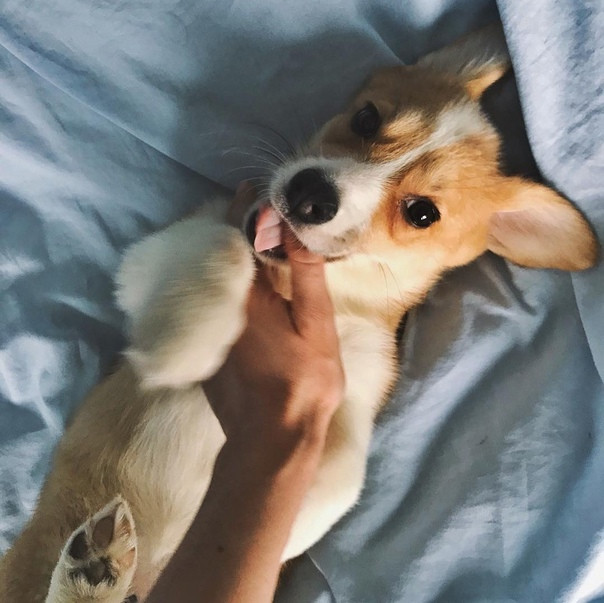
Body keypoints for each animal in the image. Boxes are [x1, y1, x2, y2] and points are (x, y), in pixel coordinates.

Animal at [0, 25, 598, 603]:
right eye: (366, 117)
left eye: (422, 213)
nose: (310, 192)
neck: (304, 284)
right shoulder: (150, 259)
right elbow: (227, 247)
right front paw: (184, 347)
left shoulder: (351, 393)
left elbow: (340, 474)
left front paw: (287, 524)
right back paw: (90, 570)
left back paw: (99, 569)